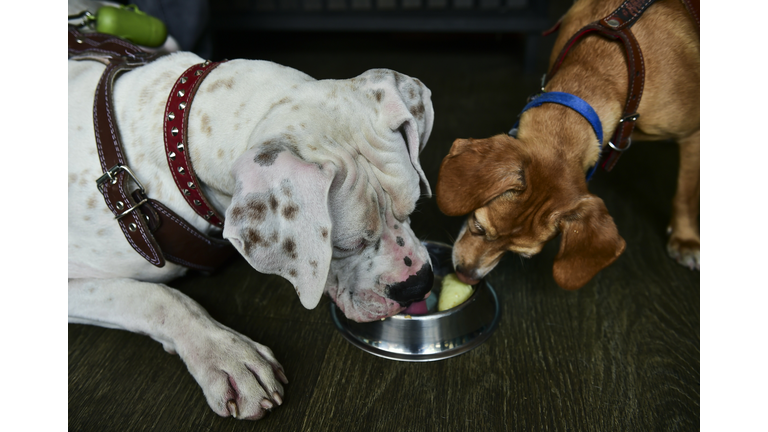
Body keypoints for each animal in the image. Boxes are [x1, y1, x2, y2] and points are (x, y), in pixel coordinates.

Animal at [436, 0, 700, 292]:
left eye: (521, 254)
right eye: (479, 227)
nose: (466, 277)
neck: (598, 71)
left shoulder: (693, 134)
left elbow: (686, 194)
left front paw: (686, 239)